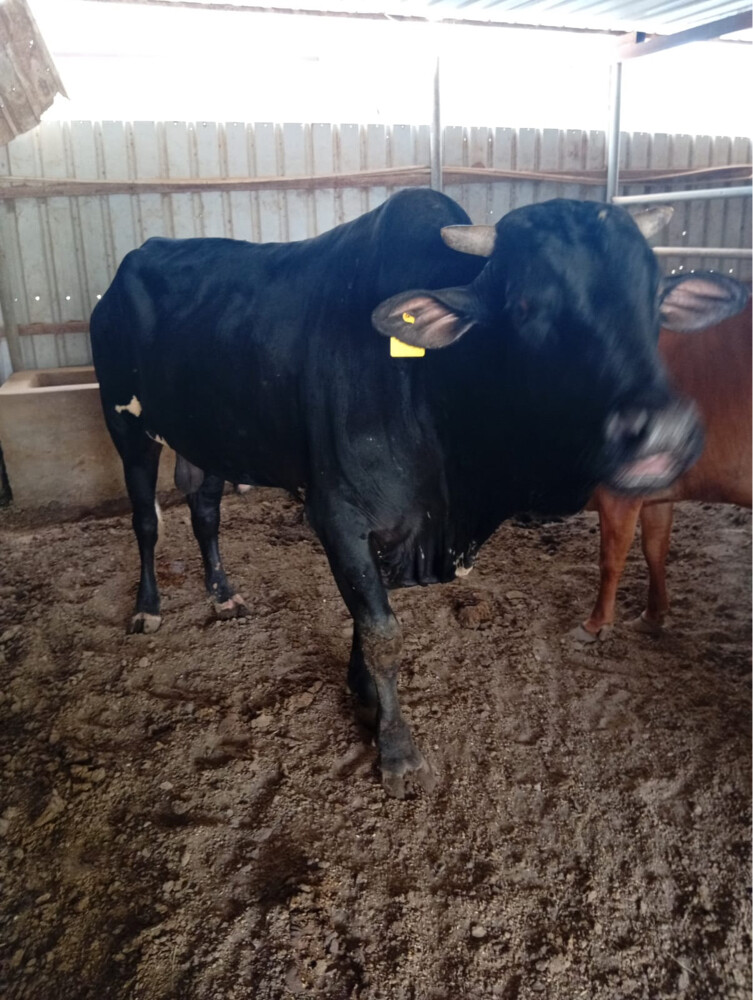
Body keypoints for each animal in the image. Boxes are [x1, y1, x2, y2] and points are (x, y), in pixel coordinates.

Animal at [577, 304, 751, 641]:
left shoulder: (618, 493)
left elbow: (611, 557)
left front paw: (596, 623)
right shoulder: (655, 494)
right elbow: (655, 548)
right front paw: (653, 615)